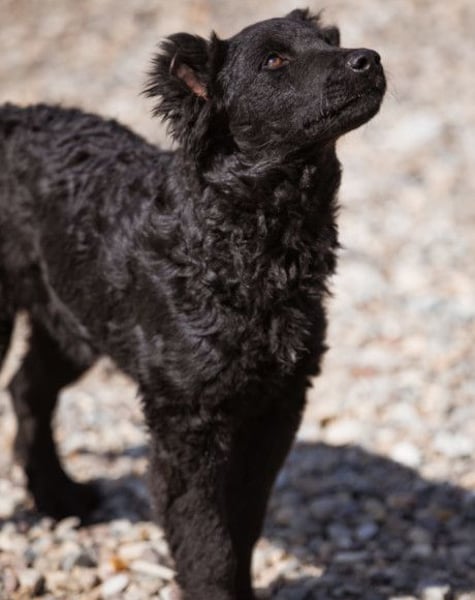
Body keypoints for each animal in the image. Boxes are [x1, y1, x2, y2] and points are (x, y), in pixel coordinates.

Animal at [0, 9, 385, 599]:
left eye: (327, 41)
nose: (370, 58)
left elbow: (243, 525)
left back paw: (59, 496)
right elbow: (206, 542)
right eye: (274, 60)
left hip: (73, 319)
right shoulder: (185, 421)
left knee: (27, 390)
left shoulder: (277, 403)